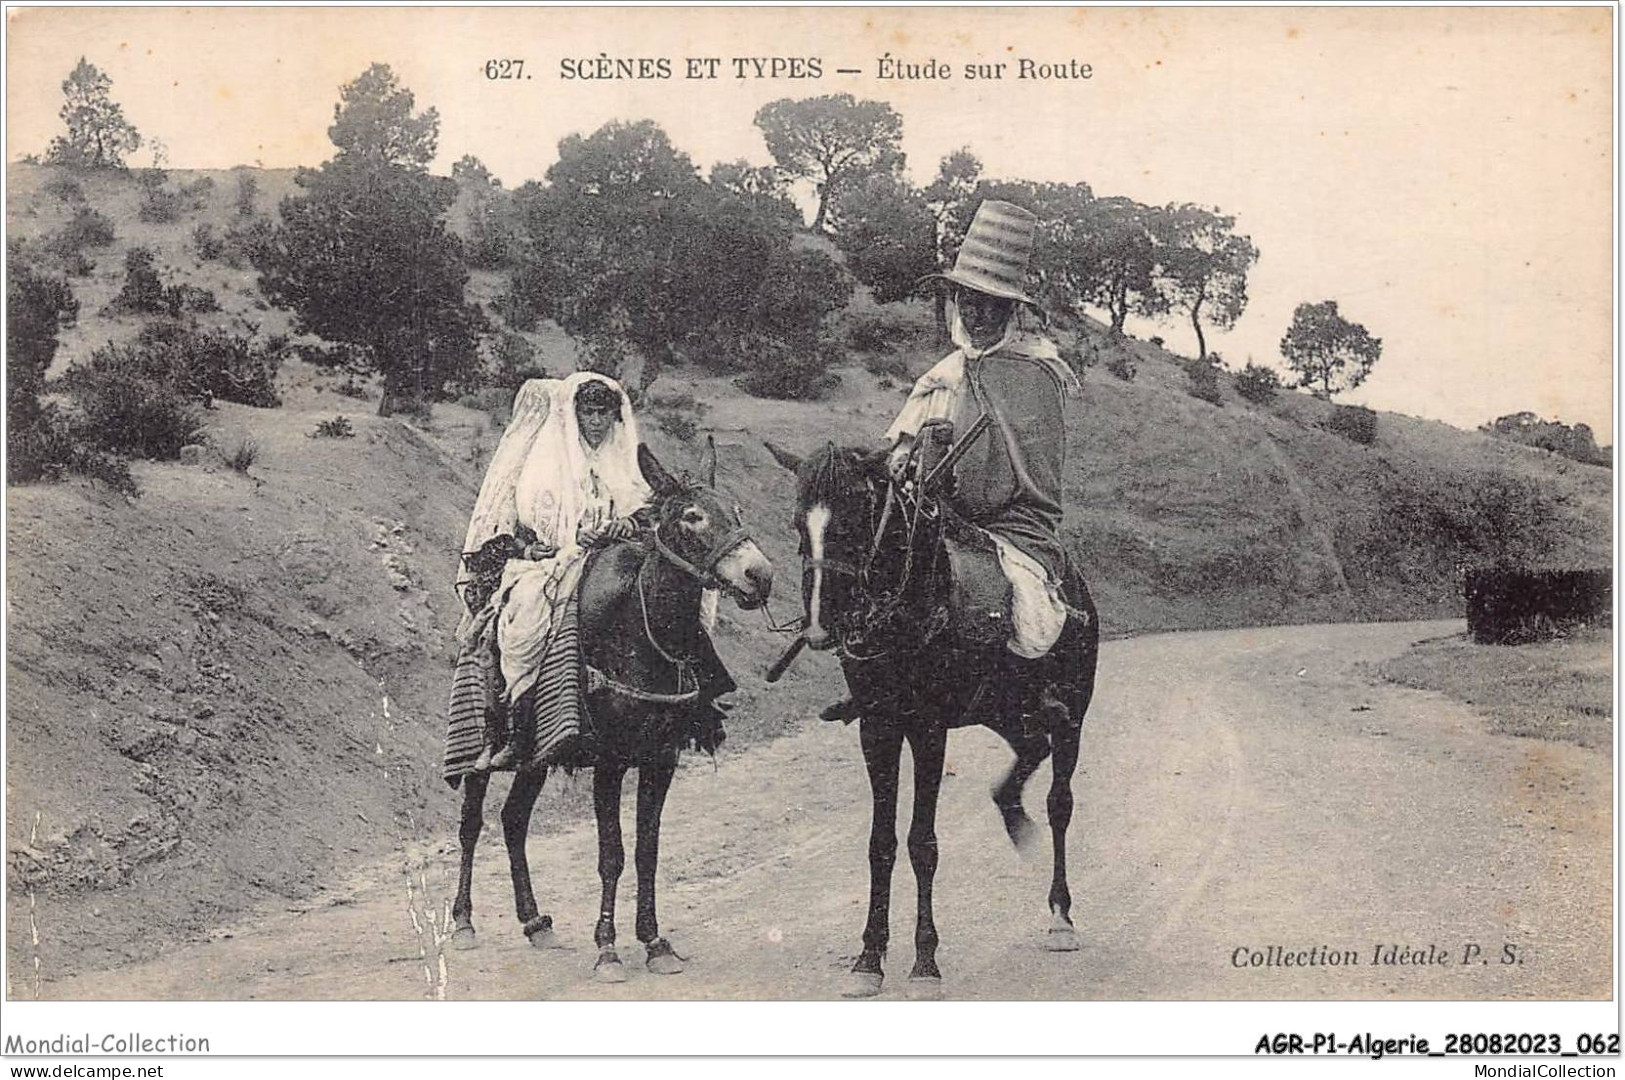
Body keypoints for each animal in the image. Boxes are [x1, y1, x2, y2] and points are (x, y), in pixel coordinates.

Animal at [445, 441, 773, 980]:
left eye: (738, 511)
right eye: (692, 516)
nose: (760, 576)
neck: (641, 633)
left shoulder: (661, 760)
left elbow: (646, 852)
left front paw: (655, 942)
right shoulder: (610, 763)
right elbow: (611, 855)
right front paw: (607, 947)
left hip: (536, 756)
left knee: (513, 821)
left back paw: (534, 922)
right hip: (479, 753)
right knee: (472, 824)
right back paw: (463, 922)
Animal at [767, 435, 1098, 993]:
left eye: (854, 515)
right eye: (797, 523)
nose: (820, 624)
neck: (912, 604)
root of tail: (1075, 586)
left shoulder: (927, 729)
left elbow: (922, 843)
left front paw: (925, 961)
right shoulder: (878, 727)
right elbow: (880, 844)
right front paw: (869, 958)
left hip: (1070, 712)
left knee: (1059, 802)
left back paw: (1060, 916)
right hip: (1002, 707)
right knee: (1032, 747)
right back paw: (1010, 809)